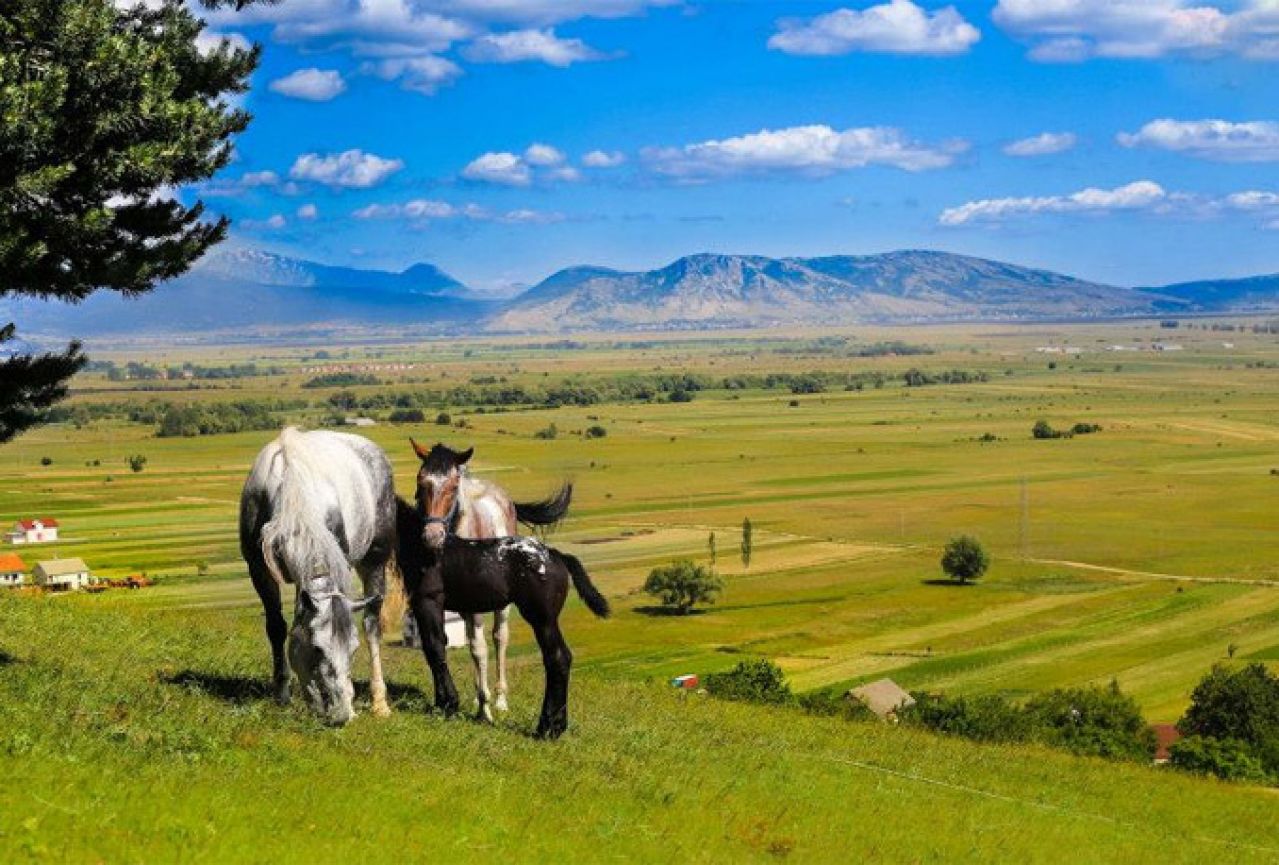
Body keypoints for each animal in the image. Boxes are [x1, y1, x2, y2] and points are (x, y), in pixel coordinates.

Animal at [240, 424, 393, 721]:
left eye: (353, 650)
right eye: (317, 648)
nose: (342, 714)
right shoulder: (258, 569)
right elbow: (277, 627)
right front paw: (283, 694)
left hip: (375, 561)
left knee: (372, 624)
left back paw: (380, 702)